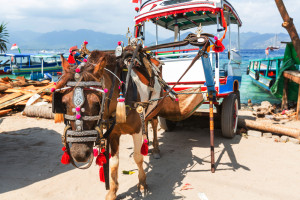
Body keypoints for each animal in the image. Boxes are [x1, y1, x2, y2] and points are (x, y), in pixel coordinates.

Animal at [55, 50, 149, 200]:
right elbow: (114, 163)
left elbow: (138, 157)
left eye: (96, 103)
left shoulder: (137, 129)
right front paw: (113, 191)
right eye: (63, 103)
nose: (79, 153)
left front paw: (142, 183)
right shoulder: (113, 133)